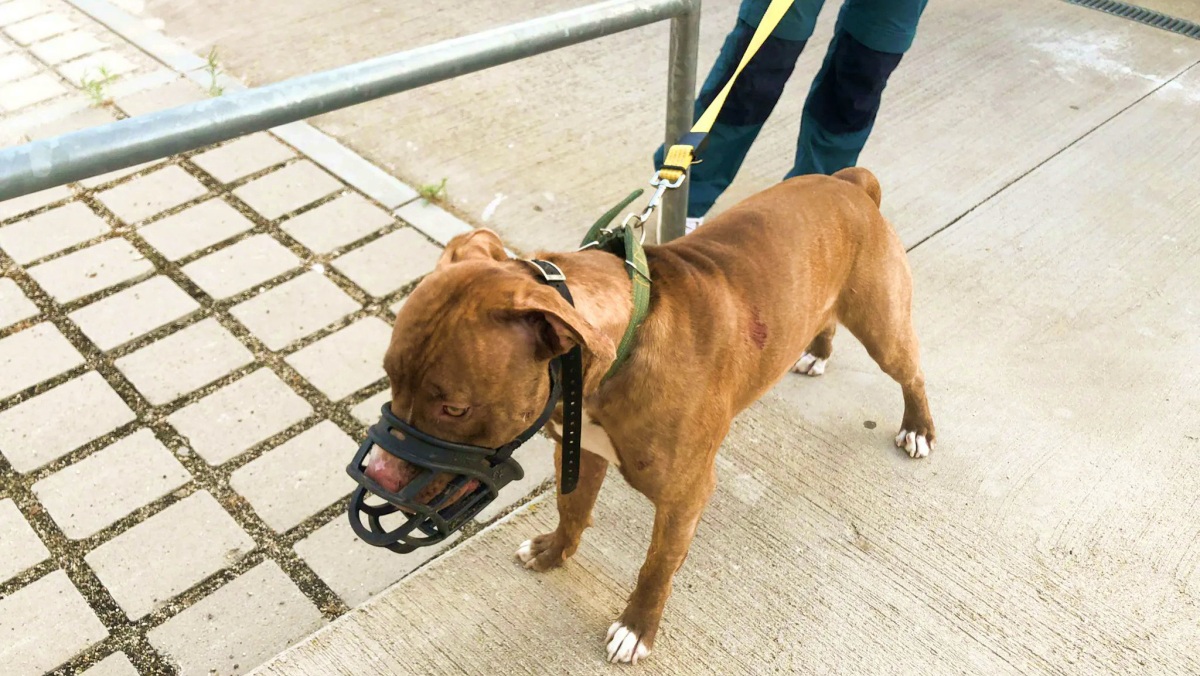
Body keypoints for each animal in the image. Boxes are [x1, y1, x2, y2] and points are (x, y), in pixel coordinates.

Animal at [364, 168, 936, 667]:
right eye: (389, 376)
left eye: (454, 408)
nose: (377, 475)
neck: (625, 343)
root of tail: (847, 182)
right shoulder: (580, 449)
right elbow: (571, 510)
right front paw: (553, 552)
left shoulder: (684, 496)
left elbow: (657, 567)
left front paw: (636, 627)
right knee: (827, 322)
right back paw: (816, 352)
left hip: (883, 326)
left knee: (911, 373)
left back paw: (917, 428)